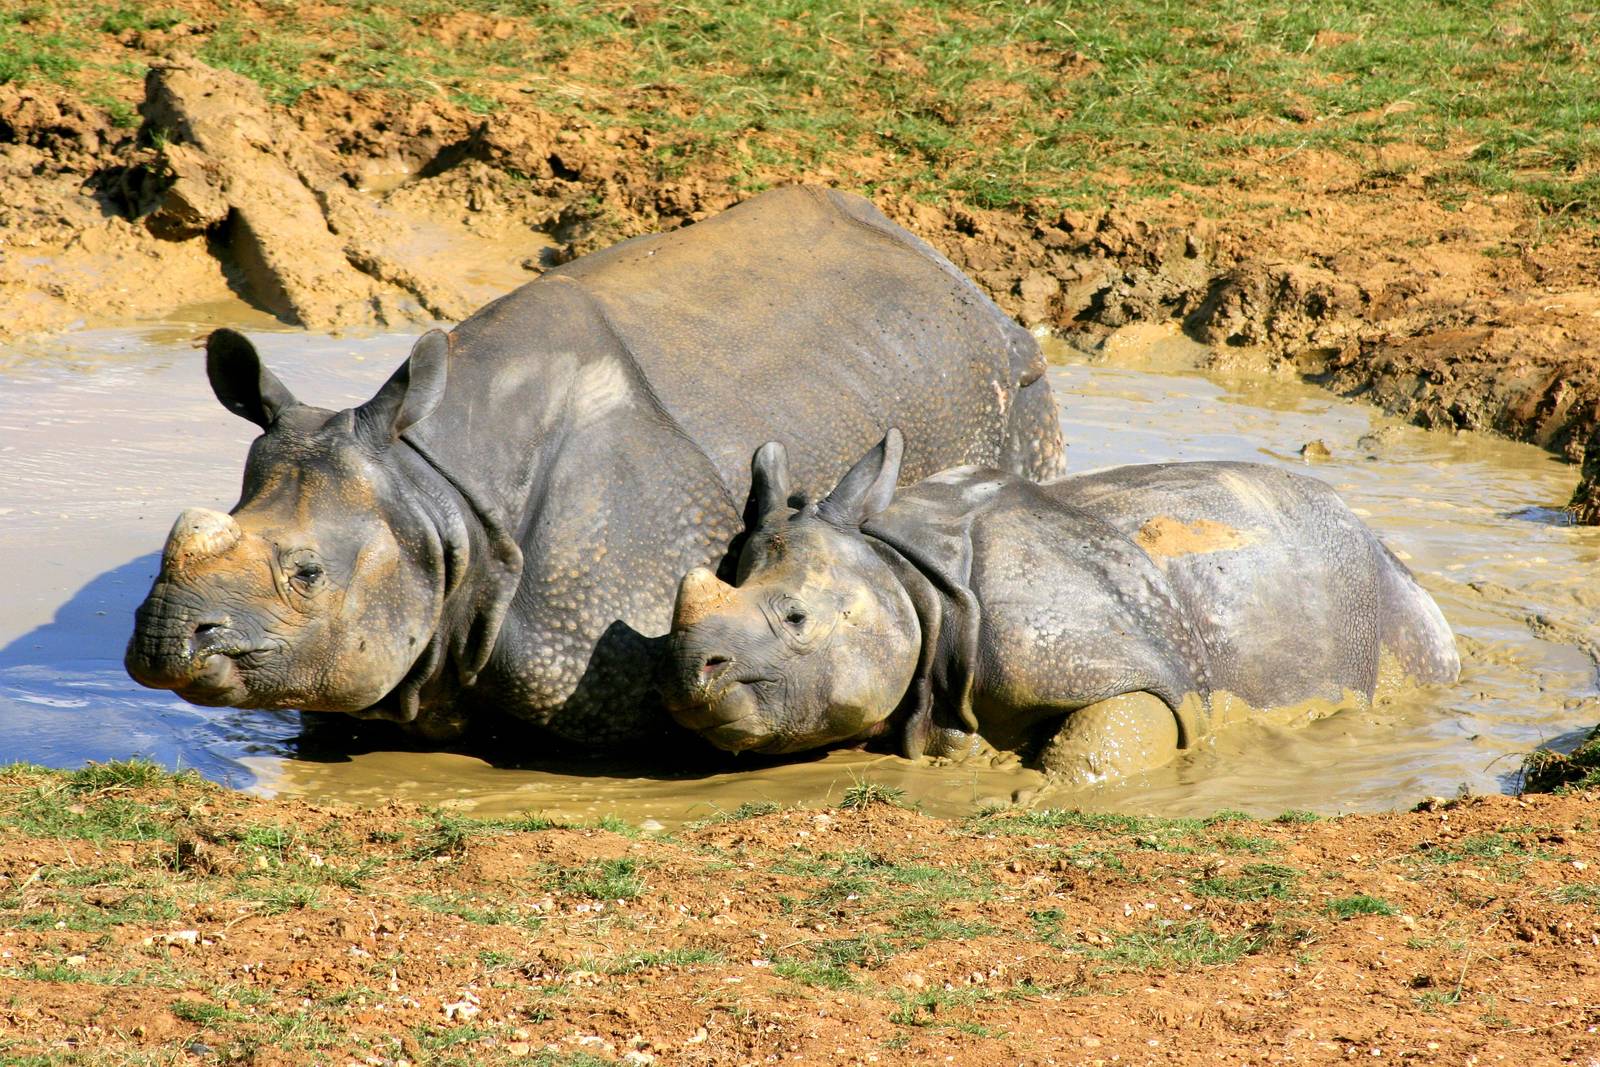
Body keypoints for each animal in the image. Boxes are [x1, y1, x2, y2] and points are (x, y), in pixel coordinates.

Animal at [661, 431, 1460, 784]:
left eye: (796, 619)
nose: (685, 672)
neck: (906, 581)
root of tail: (1364, 525)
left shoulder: (1110, 662)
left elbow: (1099, 745)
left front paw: (1021, 786)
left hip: (1380, 599)